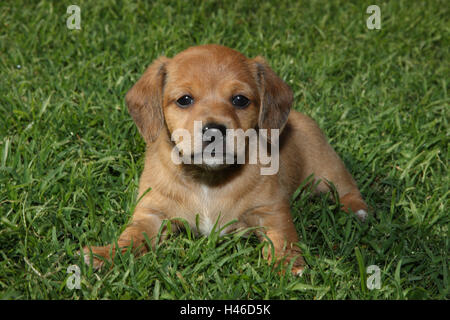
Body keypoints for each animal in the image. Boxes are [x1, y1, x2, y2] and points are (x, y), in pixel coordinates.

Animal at [82, 44, 368, 276]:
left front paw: (286, 264)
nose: (214, 130)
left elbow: (282, 237)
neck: (208, 180)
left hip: (327, 169)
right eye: (184, 100)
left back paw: (357, 211)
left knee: (348, 189)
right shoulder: (152, 213)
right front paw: (106, 253)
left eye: (240, 100)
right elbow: (131, 235)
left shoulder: (271, 210)